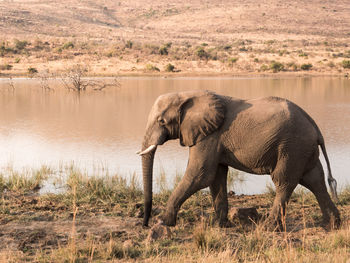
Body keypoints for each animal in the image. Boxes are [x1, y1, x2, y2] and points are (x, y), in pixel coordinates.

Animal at [138, 90, 340, 229]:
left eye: (162, 121)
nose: (145, 224)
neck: (188, 94)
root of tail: (315, 126)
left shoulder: (210, 135)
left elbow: (200, 175)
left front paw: (164, 222)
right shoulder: (213, 138)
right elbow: (216, 176)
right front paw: (220, 225)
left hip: (292, 147)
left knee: (284, 181)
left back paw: (269, 228)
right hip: (302, 150)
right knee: (315, 180)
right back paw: (332, 225)